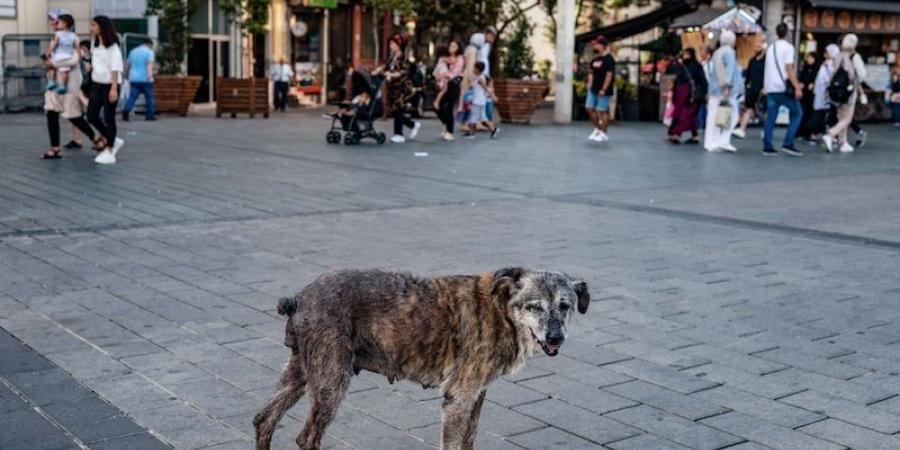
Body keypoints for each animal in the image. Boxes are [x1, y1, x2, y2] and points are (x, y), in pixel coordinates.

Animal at [253, 268, 592, 448]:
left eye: (565, 305)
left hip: (300, 371)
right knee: (307, 437)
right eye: (534, 306)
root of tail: (299, 298)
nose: (555, 337)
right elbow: (453, 443)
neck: (501, 310)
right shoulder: (458, 398)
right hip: (331, 380)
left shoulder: (476, 395)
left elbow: (469, 439)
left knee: (264, 418)